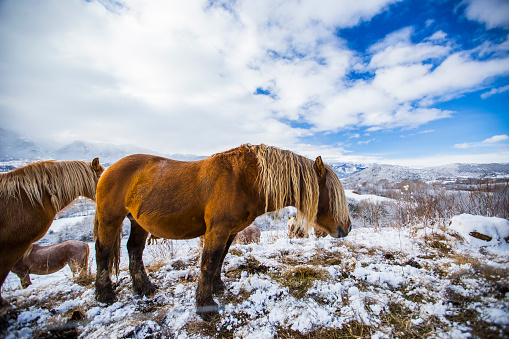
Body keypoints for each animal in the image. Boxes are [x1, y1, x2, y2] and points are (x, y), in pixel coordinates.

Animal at [93, 143, 350, 322]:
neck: (243, 180)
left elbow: (219, 260)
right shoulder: (217, 230)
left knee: (134, 250)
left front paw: (217, 287)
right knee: (103, 252)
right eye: (332, 193)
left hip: (138, 222)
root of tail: (107, 170)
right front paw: (205, 306)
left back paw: (144, 288)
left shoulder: (230, 232)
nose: (346, 227)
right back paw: (104, 294)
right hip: (110, 219)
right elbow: (208, 263)